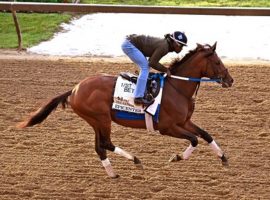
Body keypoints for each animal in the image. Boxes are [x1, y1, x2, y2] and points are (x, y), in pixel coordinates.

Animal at [18, 42, 234, 178]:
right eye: (217, 62)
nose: (230, 80)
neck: (177, 88)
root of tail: (75, 89)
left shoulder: (184, 122)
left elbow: (205, 135)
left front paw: (223, 158)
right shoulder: (167, 127)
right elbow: (194, 139)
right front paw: (177, 157)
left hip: (96, 121)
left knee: (100, 147)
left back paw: (113, 173)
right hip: (101, 119)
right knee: (106, 143)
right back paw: (135, 160)